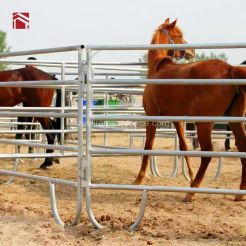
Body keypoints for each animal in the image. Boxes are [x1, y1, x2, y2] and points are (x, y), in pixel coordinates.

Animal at [135, 17, 246, 202]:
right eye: (179, 35)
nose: (191, 51)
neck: (158, 67)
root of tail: (230, 69)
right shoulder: (178, 119)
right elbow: (184, 146)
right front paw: (191, 175)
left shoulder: (151, 117)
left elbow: (148, 146)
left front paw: (139, 178)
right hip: (234, 120)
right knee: (242, 147)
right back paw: (240, 193)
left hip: (204, 123)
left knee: (207, 152)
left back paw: (192, 191)